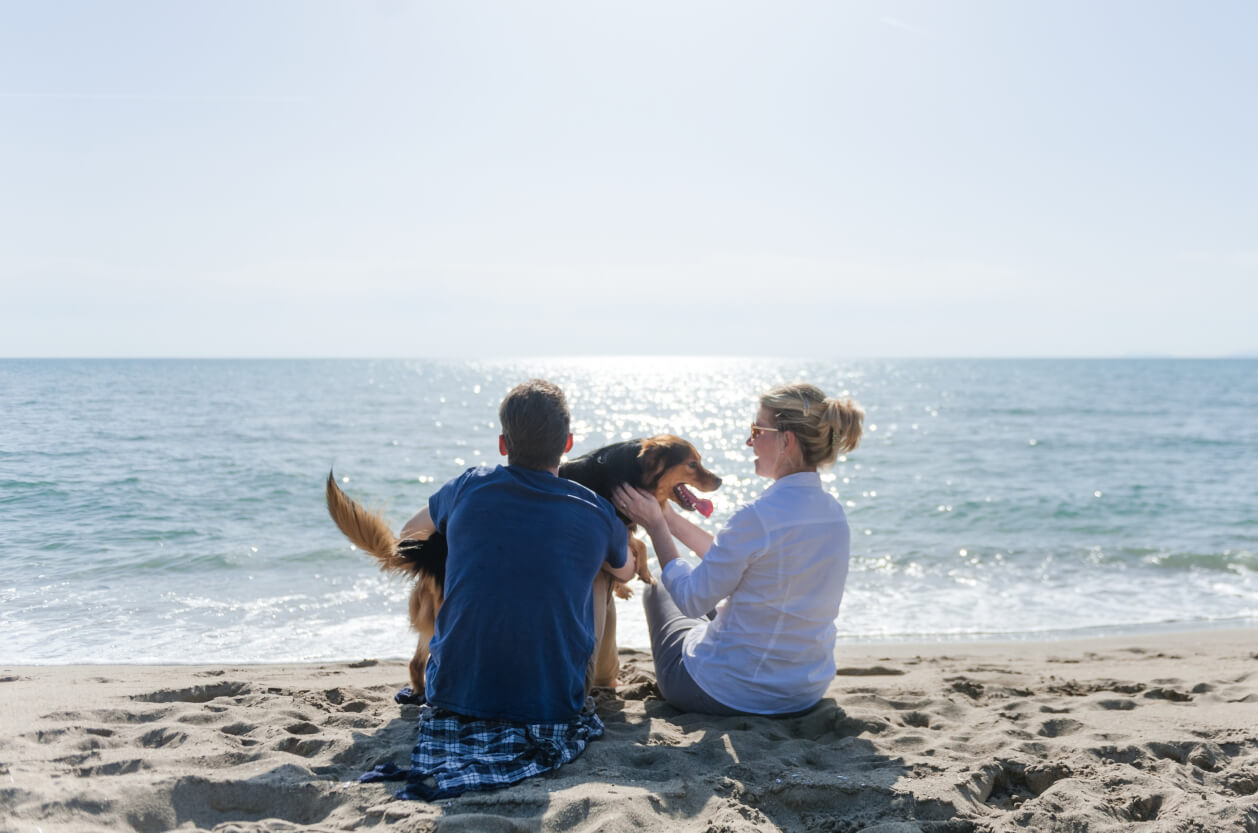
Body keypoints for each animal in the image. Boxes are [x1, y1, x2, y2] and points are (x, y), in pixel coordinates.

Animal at [324, 437, 719, 699]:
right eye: (693, 464)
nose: (721, 480)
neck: (631, 470)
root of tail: (431, 547)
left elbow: (635, 547)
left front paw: (626, 584)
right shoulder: (613, 524)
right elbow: (635, 547)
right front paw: (641, 575)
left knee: (416, 661)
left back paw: (420, 694)